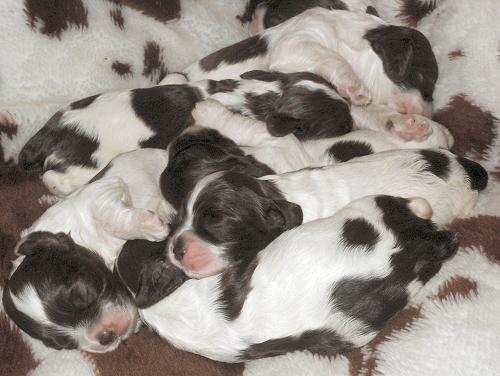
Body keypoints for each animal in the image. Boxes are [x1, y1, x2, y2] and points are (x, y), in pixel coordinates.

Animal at [18, 70, 348, 197]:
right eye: (343, 124)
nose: (353, 119)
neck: (262, 95)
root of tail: (53, 129)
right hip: (83, 167)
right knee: (55, 178)